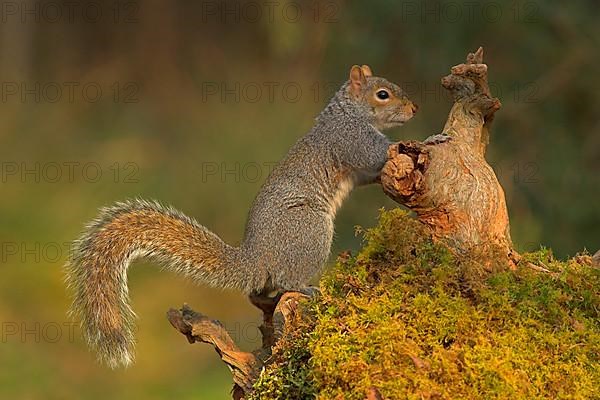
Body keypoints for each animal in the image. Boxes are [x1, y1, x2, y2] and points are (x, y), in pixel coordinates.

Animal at [65, 64, 418, 368]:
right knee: (285, 279)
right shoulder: (351, 139)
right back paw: (306, 288)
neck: (347, 112)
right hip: (310, 229)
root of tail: (256, 257)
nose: (414, 108)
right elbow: (378, 155)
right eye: (383, 94)